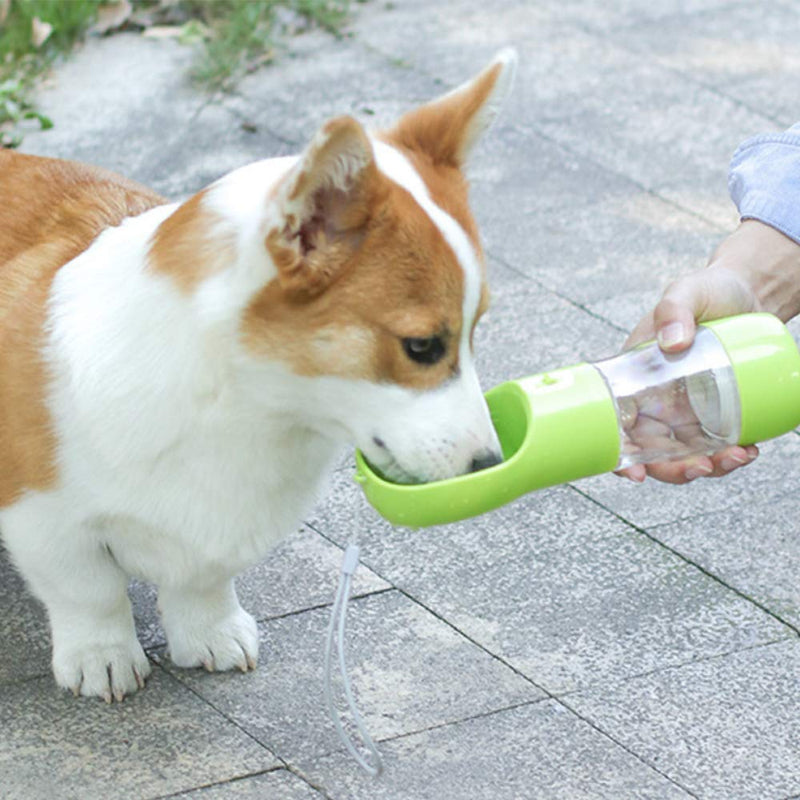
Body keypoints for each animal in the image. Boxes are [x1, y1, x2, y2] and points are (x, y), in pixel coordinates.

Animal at [0, 48, 516, 700]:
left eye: (476, 329)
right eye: (422, 346)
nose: (490, 465)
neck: (246, 408)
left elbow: (203, 581)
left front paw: (210, 634)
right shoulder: (40, 514)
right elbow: (88, 591)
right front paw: (103, 658)